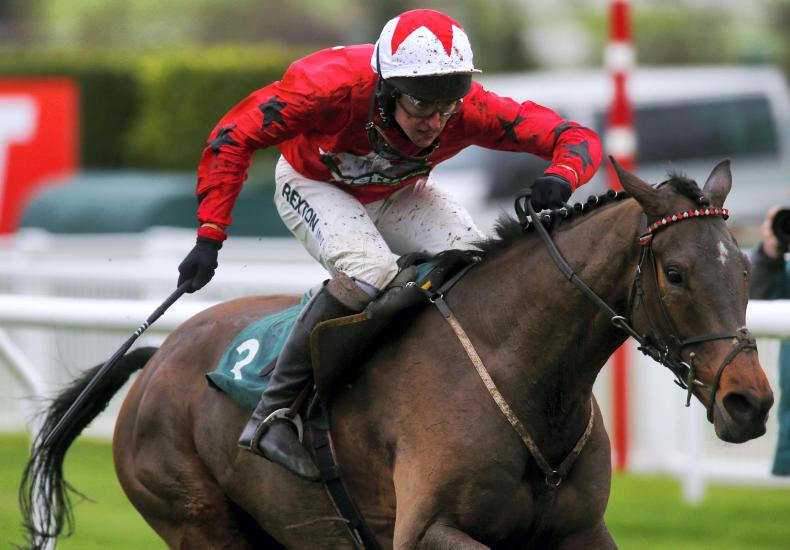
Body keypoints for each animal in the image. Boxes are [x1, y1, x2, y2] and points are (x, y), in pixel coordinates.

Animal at [20, 160, 773, 549]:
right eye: (675, 273)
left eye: (744, 271)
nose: (751, 402)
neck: (524, 376)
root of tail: (158, 356)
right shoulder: (427, 531)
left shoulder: (582, 533)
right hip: (197, 522)